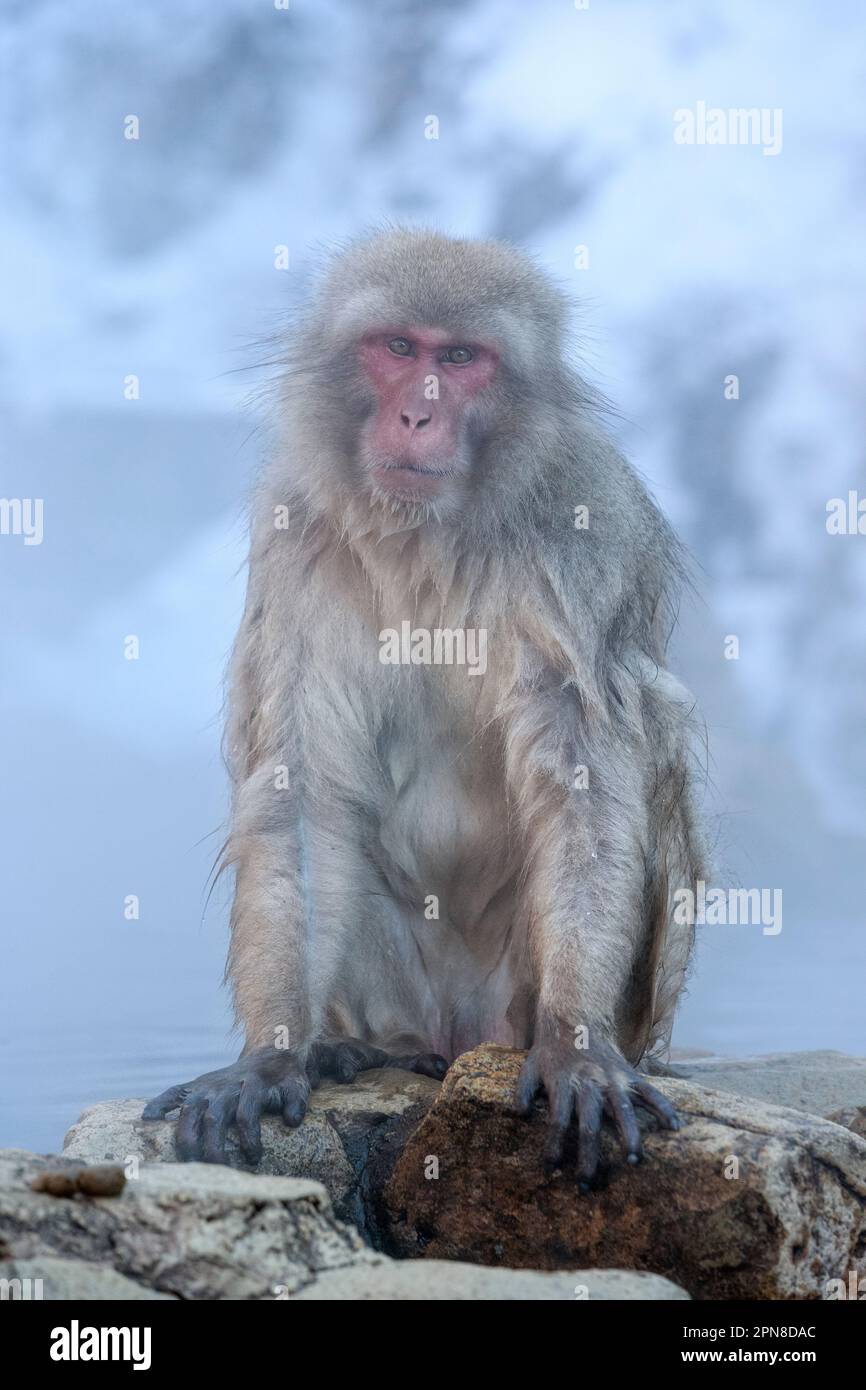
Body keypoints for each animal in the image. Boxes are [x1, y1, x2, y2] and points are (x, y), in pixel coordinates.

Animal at [145, 227, 708, 1184]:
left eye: (461, 359)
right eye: (400, 348)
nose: (418, 415)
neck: (430, 534)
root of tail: (457, 1036)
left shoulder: (581, 536)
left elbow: (583, 782)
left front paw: (576, 1043)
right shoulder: (298, 531)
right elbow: (305, 791)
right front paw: (271, 1056)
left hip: (535, 1003)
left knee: (654, 724)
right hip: (402, 996)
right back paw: (349, 1050)